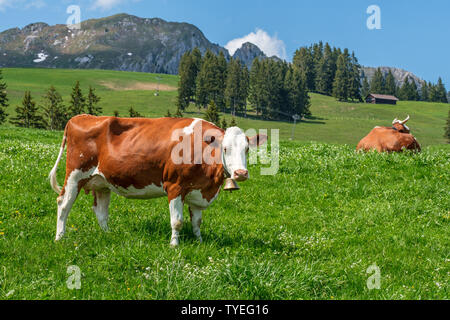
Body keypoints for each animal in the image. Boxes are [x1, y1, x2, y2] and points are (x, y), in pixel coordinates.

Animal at [49, 114, 268, 245]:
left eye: (247, 149)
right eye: (225, 148)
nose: (241, 173)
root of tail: (80, 117)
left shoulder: (198, 190)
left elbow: (197, 222)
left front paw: (199, 242)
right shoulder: (175, 186)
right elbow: (177, 221)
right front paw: (174, 245)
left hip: (102, 182)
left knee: (101, 211)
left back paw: (107, 234)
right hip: (75, 174)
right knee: (63, 204)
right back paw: (60, 237)